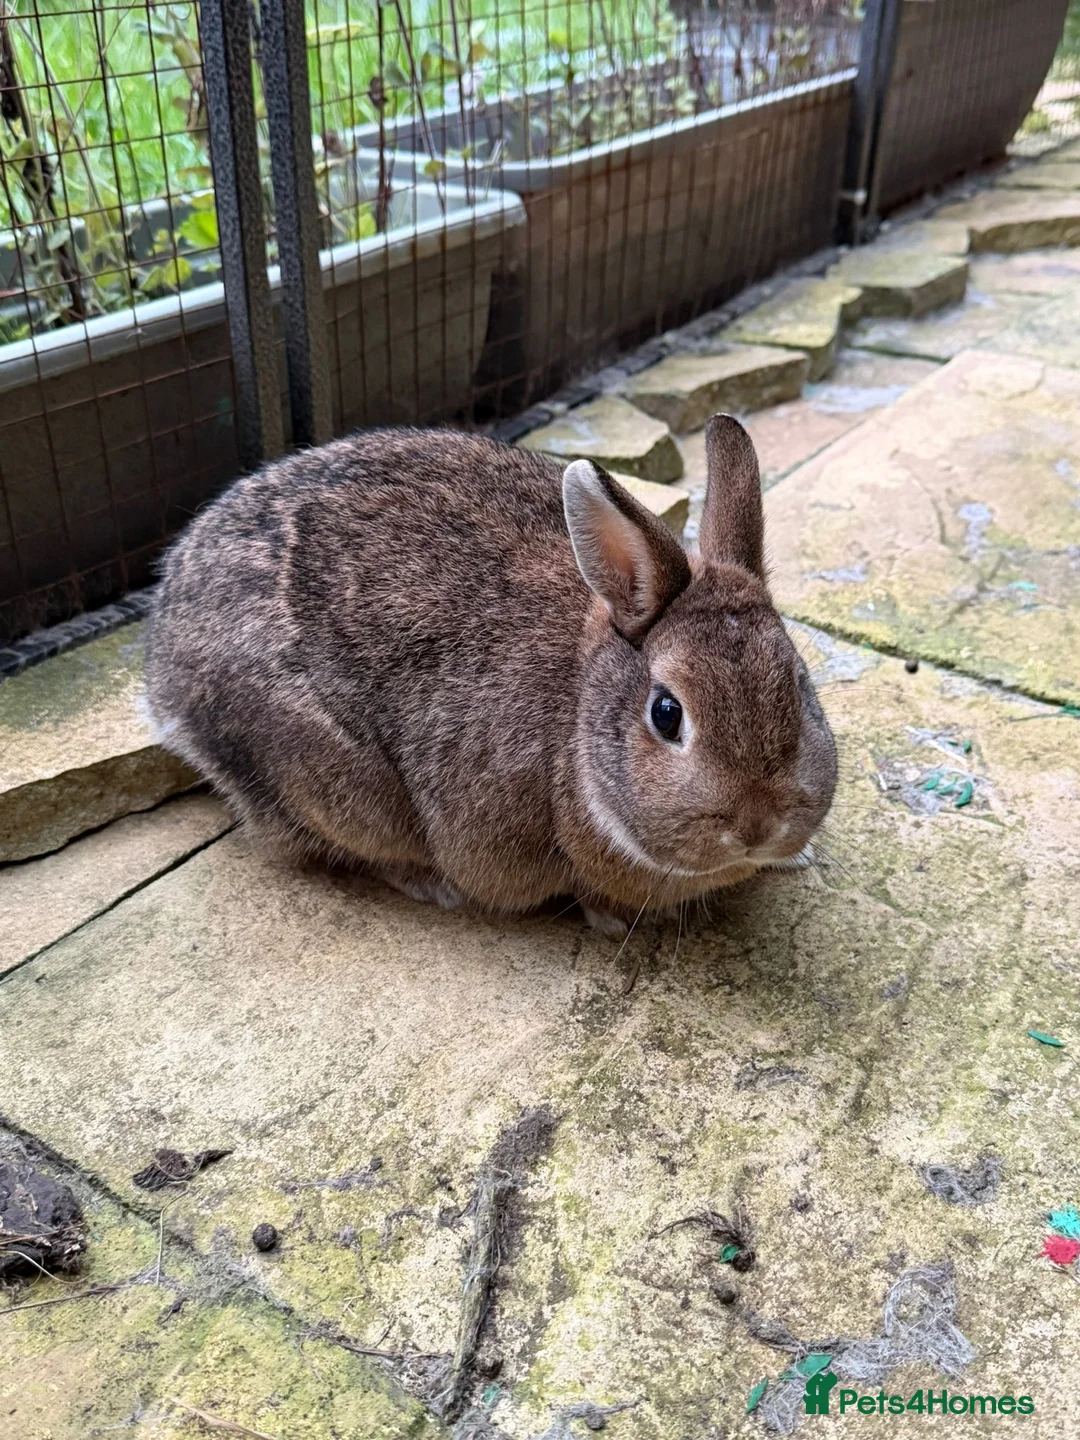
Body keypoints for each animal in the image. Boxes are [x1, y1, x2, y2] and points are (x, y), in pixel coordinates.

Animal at [147, 413, 837, 934]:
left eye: (799, 685)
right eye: (666, 714)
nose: (757, 826)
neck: (581, 706)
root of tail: (164, 676)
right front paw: (614, 919)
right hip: (334, 784)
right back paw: (435, 886)